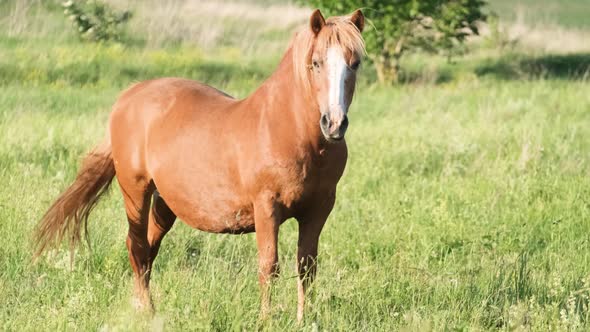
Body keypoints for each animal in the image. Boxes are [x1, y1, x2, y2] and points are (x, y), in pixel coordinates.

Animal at [34, 9, 366, 322]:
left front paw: (302, 320)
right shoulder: (266, 208)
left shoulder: (317, 211)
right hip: (135, 191)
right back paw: (148, 312)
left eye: (355, 63)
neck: (289, 131)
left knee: (148, 250)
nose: (334, 124)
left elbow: (307, 267)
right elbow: (268, 266)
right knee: (137, 247)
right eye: (316, 63)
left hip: (165, 203)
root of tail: (129, 95)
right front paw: (266, 320)